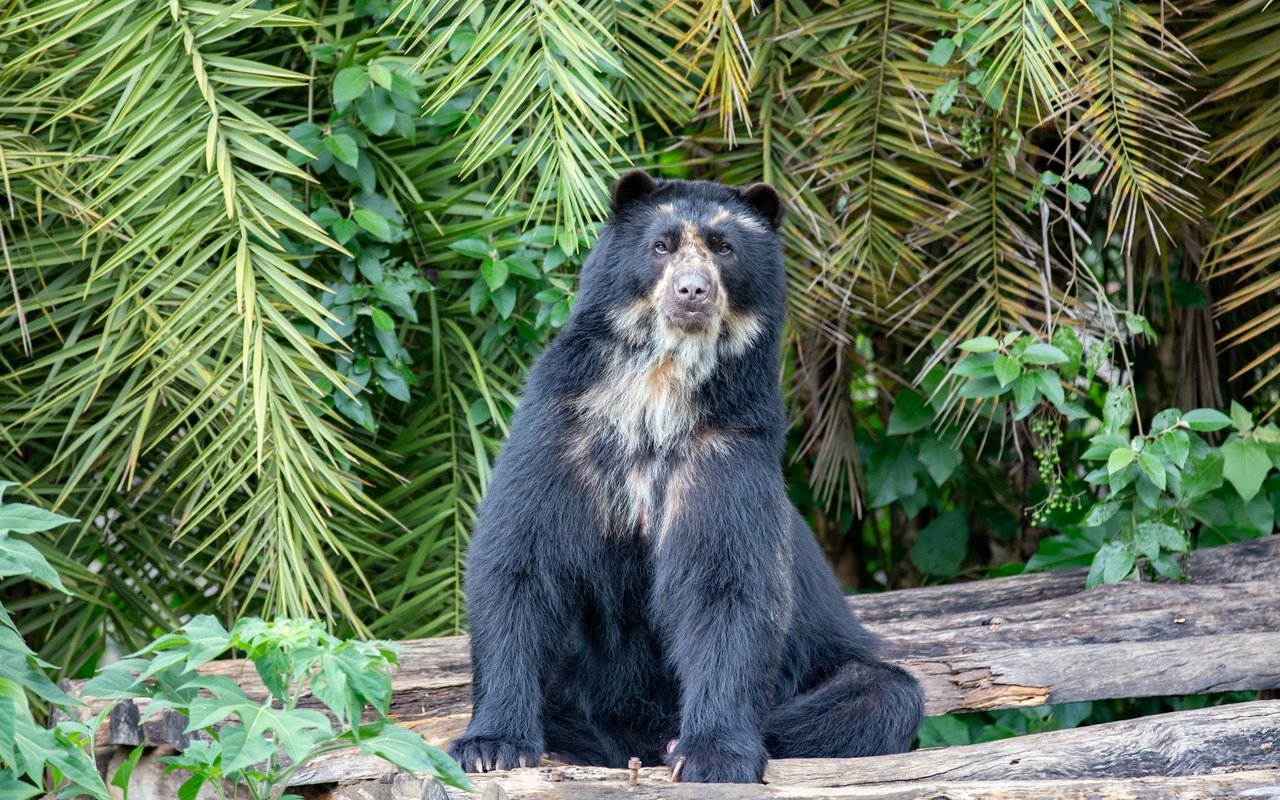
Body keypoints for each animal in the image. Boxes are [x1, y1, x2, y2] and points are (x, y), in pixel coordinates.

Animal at [448, 172, 921, 778]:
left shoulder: (727, 446)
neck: (661, 385)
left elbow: (728, 583)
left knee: (881, 694)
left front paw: (711, 755)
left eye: (724, 247)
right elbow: (519, 561)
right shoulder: (561, 431)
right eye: (662, 245)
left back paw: (679, 741)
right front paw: (490, 746)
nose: (692, 292)